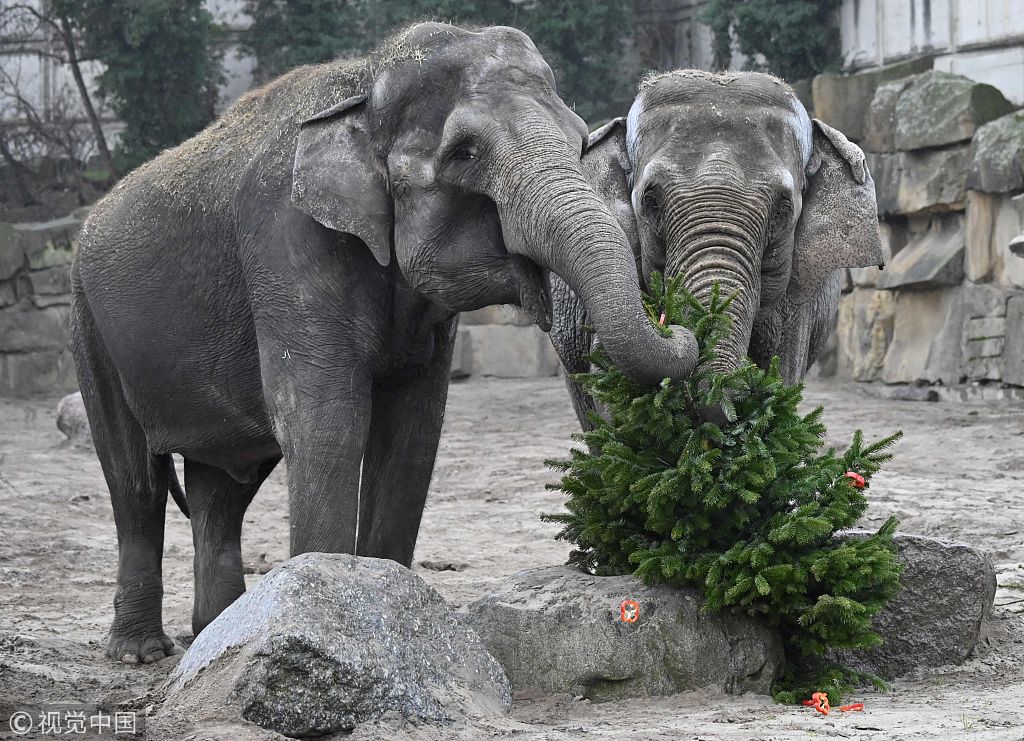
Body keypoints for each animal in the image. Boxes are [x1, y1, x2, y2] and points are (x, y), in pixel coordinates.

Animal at [70, 23, 696, 663]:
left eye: (577, 142)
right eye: (465, 153)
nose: (679, 323)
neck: (366, 84)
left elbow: (411, 437)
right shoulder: (285, 240)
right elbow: (327, 422)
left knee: (221, 489)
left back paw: (213, 634)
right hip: (88, 324)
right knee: (135, 482)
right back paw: (141, 651)